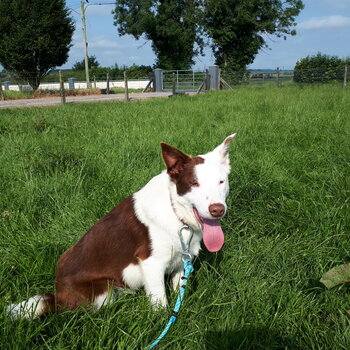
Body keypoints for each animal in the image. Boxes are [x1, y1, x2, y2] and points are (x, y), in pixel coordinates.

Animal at [8, 135, 237, 320]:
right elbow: (160, 302)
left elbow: (179, 288)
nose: (217, 210)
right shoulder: (151, 264)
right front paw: (163, 323)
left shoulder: (182, 258)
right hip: (102, 291)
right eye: (194, 183)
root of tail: (57, 297)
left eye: (221, 182)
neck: (177, 212)